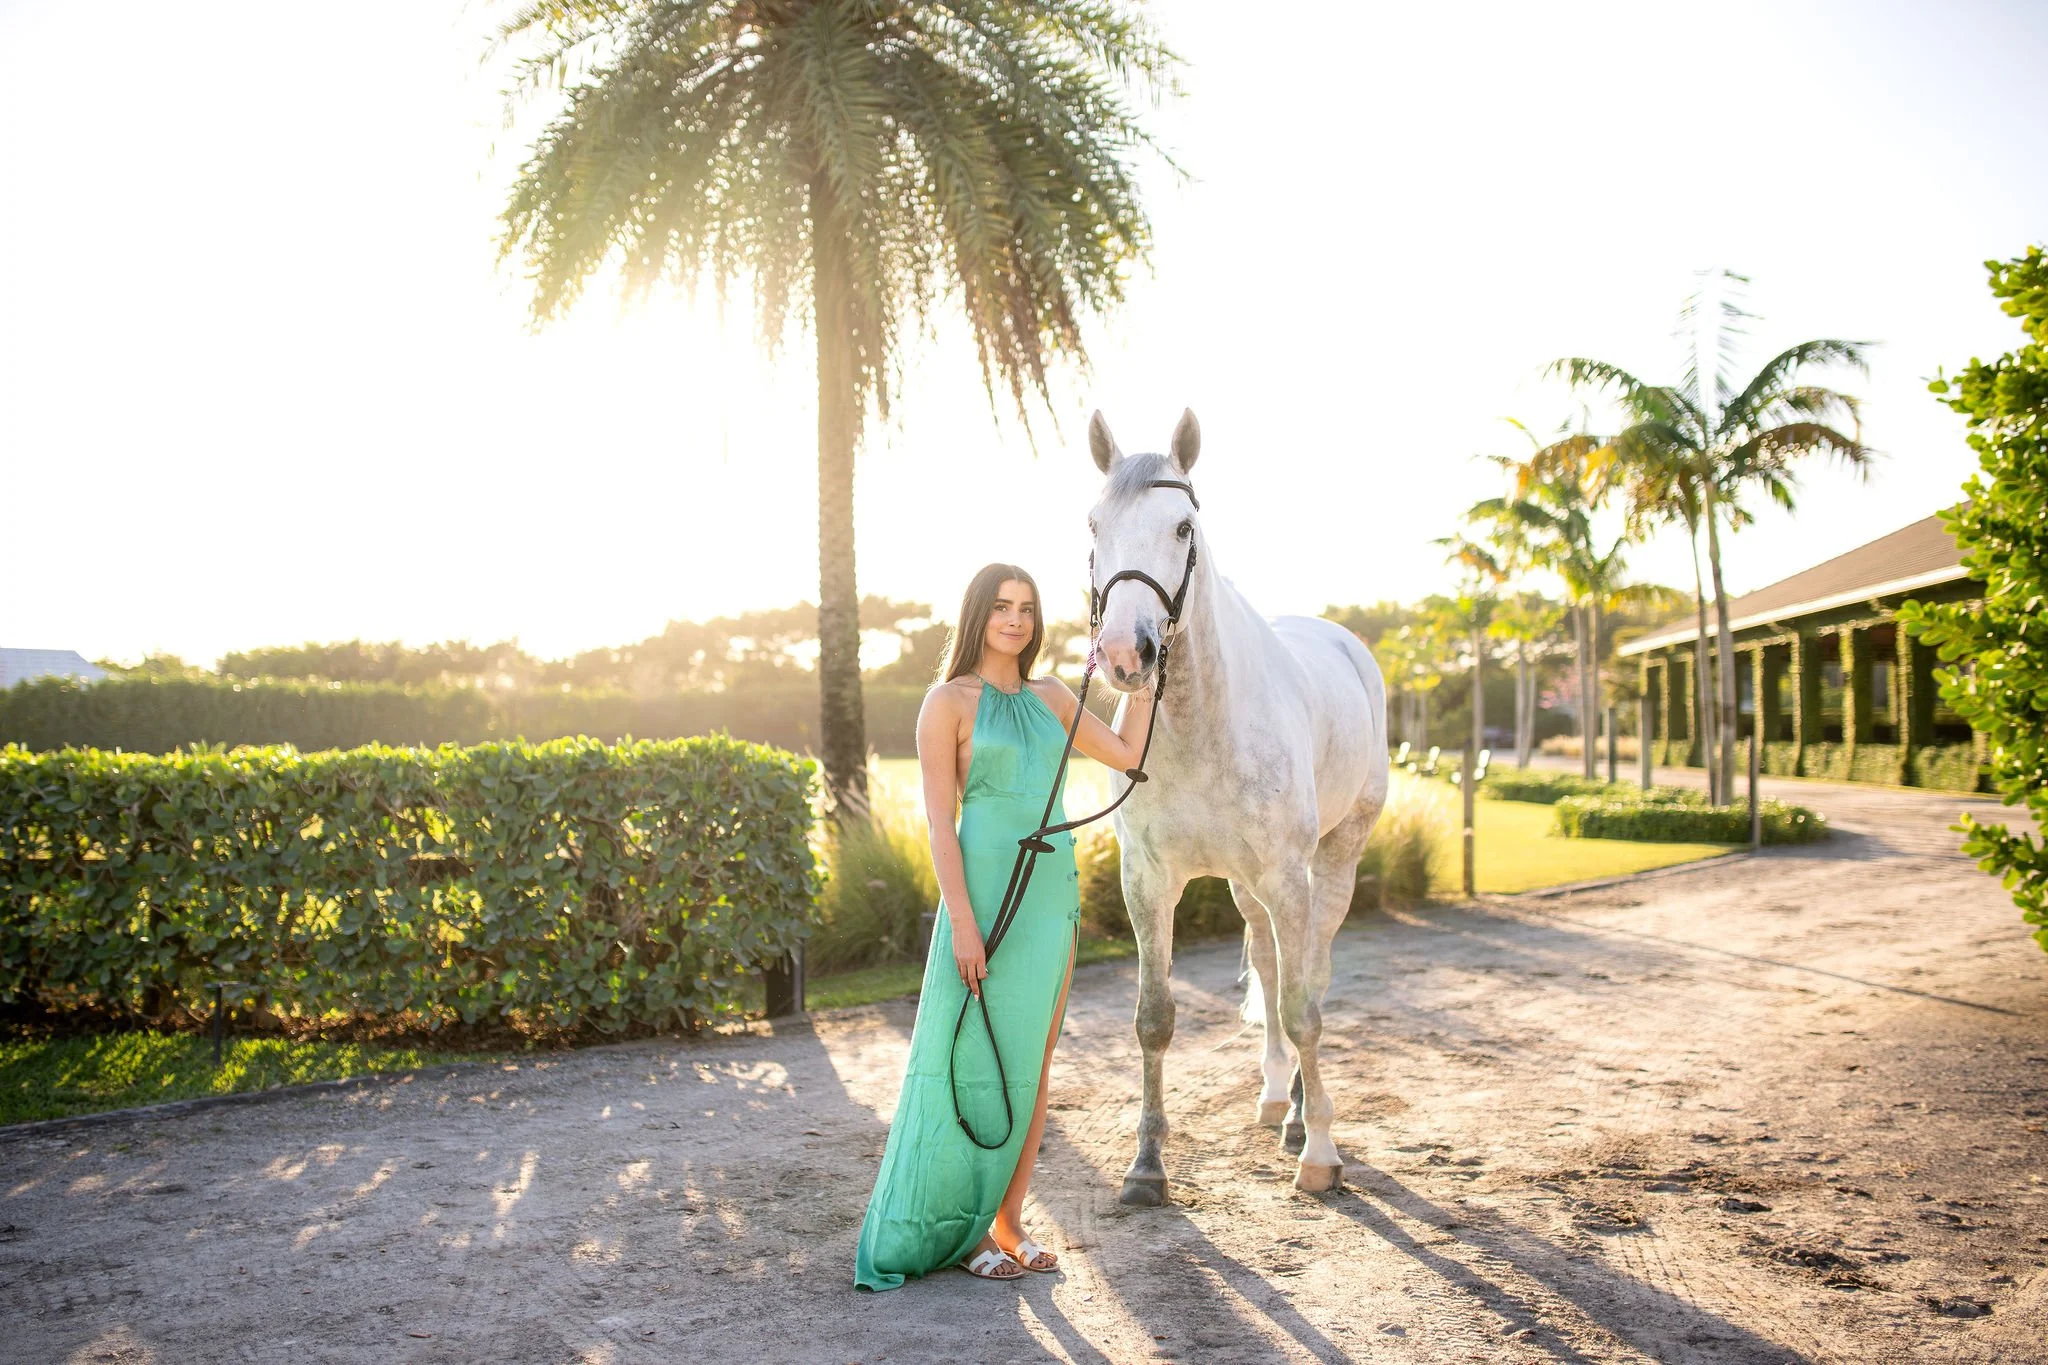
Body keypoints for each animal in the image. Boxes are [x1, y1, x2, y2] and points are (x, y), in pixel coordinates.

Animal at [1086, 409, 1389, 1200]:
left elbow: (1304, 1009)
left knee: (1310, 975)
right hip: (1248, 887)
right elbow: (1155, 1018)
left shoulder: (1289, 876)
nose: (1125, 653)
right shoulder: (1148, 880)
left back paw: (1303, 1121)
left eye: (1183, 527)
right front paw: (1147, 1165)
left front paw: (1321, 1155)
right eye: (1095, 523)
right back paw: (1278, 1096)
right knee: (1273, 964)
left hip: (1331, 863)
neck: (1202, 726)